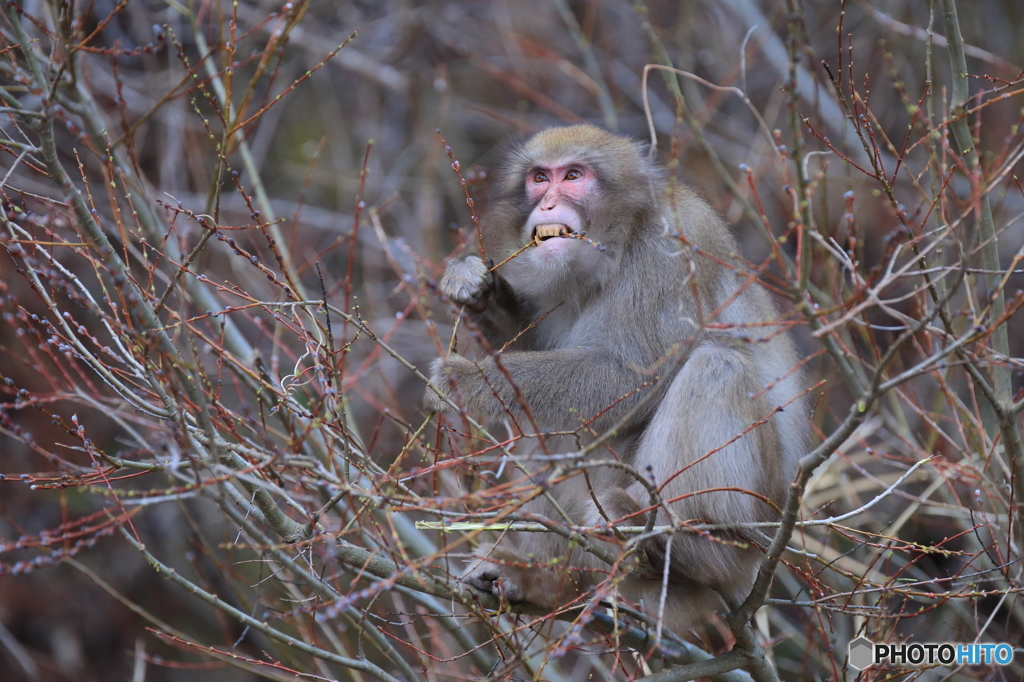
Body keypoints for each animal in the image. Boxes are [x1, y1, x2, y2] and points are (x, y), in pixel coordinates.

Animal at [423, 123, 806, 630]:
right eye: (539, 178)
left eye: (574, 175)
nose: (547, 204)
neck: (616, 248)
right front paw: (472, 286)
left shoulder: (670, 250)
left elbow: (631, 375)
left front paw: (467, 382)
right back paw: (546, 583)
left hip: (752, 529)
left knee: (715, 367)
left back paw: (679, 545)